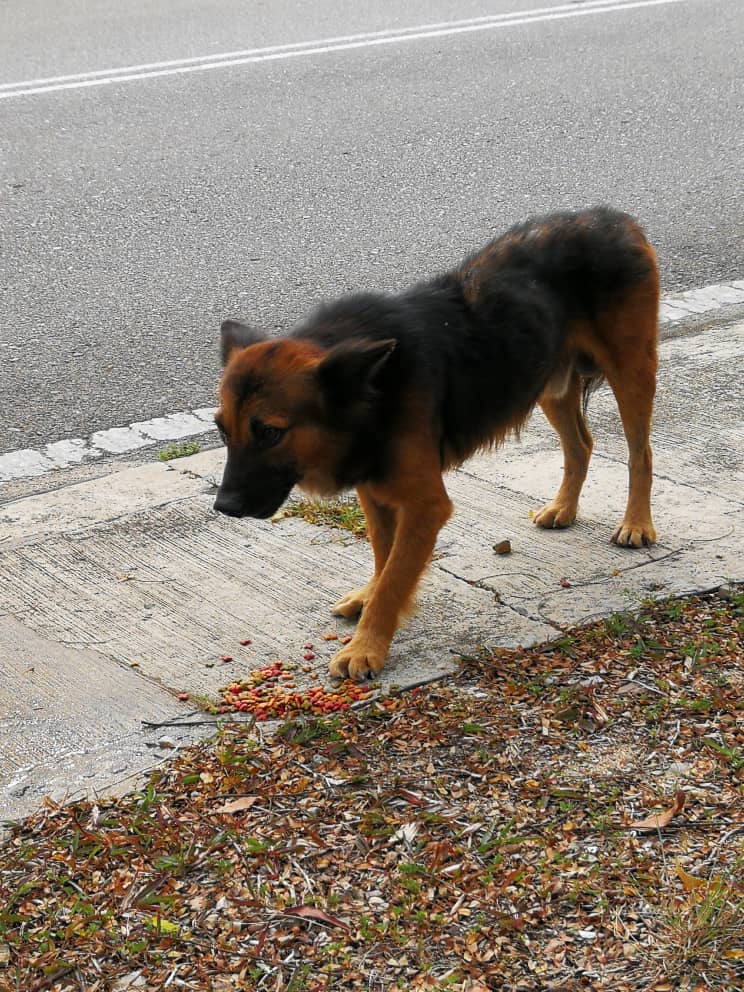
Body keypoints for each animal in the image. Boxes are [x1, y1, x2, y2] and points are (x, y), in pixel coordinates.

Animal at [214, 205, 656, 680]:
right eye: (221, 429)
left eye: (270, 432)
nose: (224, 508)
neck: (372, 393)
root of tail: (613, 218)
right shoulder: (375, 491)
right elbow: (383, 556)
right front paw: (370, 599)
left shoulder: (425, 506)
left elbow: (395, 577)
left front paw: (366, 645)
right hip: (545, 382)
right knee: (581, 446)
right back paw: (564, 508)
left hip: (630, 372)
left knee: (640, 454)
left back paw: (636, 523)